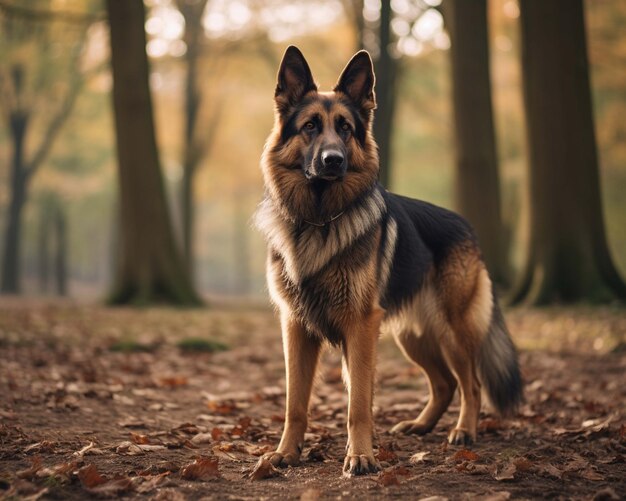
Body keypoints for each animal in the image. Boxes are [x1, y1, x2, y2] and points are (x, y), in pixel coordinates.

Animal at [254, 45, 520, 474]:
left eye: (345, 128)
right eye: (310, 126)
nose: (333, 160)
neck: (318, 220)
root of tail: (466, 224)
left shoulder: (360, 327)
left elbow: (359, 403)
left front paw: (361, 455)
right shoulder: (295, 327)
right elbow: (296, 403)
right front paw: (286, 453)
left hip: (453, 330)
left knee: (471, 383)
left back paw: (464, 431)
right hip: (411, 336)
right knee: (445, 383)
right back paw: (421, 425)